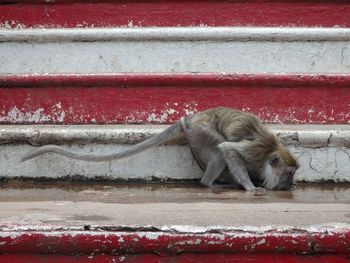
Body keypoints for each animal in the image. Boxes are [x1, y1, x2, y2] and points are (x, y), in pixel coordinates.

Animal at [21, 108, 298, 194]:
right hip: (203, 132)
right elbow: (229, 149)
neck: (270, 152)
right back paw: (210, 183)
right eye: (289, 173)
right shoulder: (256, 151)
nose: (290, 185)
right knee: (219, 149)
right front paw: (250, 187)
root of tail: (193, 118)